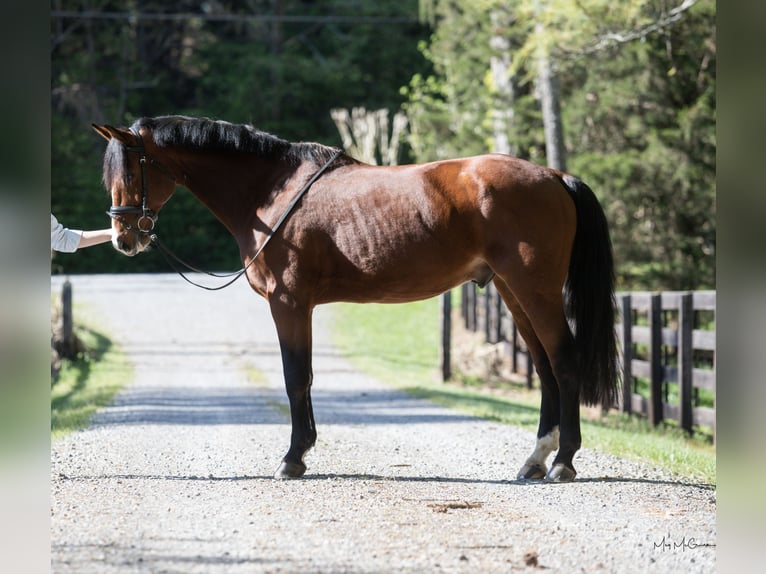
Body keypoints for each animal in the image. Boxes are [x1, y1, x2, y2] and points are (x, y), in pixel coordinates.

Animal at [92, 115, 618, 482]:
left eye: (132, 172)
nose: (123, 239)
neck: (272, 191)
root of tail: (554, 176)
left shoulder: (288, 303)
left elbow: (295, 378)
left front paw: (292, 458)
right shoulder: (296, 306)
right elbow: (303, 378)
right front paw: (302, 451)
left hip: (534, 288)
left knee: (564, 362)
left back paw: (563, 463)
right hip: (513, 292)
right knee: (544, 367)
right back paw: (535, 460)